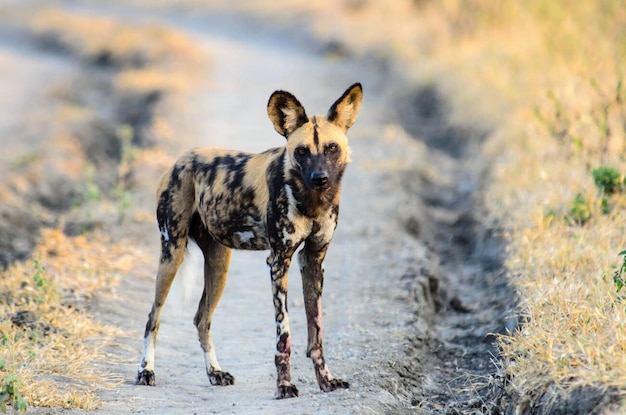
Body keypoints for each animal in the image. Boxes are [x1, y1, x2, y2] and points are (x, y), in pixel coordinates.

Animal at [135, 83, 360, 398]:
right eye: (302, 151)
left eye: (332, 148)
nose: (320, 178)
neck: (312, 200)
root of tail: (181, 159)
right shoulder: (278, 262)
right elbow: (284, 336)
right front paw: (285, 385)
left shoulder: (313, 260)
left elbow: (316, 333)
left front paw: (326, 380)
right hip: (172, 253)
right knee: (153, 318)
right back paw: (146, 371)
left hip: (219, 266)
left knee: (201, 319)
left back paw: (214, 373)